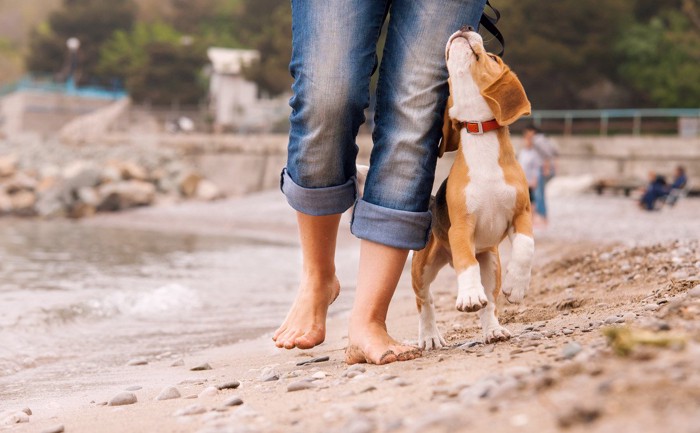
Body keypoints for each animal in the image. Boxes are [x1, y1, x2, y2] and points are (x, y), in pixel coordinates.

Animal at [412, 29, 532, 348]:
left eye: (492, 57)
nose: (465, 26)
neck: (480, 133)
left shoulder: (522, 213)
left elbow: (526, 246)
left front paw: (517, 286)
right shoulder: (461, 226)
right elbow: (467, 263)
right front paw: (468, 296)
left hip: (491, 262)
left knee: (490, 303)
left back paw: (493, 330)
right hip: (422, 267)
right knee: (424, 301)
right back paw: (430, 336)